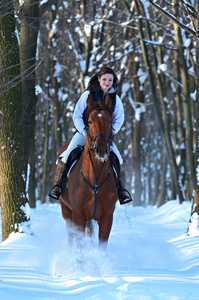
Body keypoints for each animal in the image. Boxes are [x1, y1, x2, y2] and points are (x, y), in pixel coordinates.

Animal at [56, 94, 118, 248]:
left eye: (111, 121)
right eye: (89, 121)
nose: (101, 149)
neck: (94, 180)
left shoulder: (107, 218)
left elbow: (102, 245)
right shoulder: (78, 216)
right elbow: (80, 246)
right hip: (66, 209)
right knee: (70, 234)